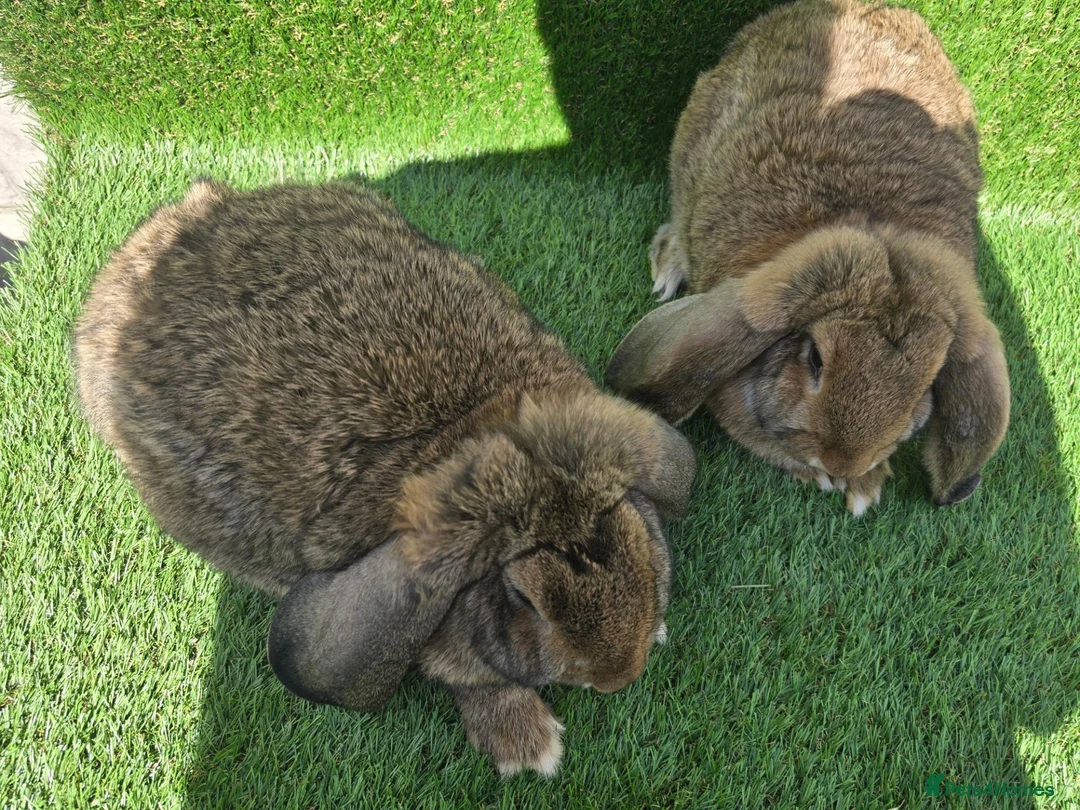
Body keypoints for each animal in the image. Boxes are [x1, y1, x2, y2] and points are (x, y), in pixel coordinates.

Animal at [72, 179, 697, 776]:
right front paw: (528, 746)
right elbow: (473, 679)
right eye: (526, 598)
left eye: (630, 531)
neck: (469, 433)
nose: (619, 674)